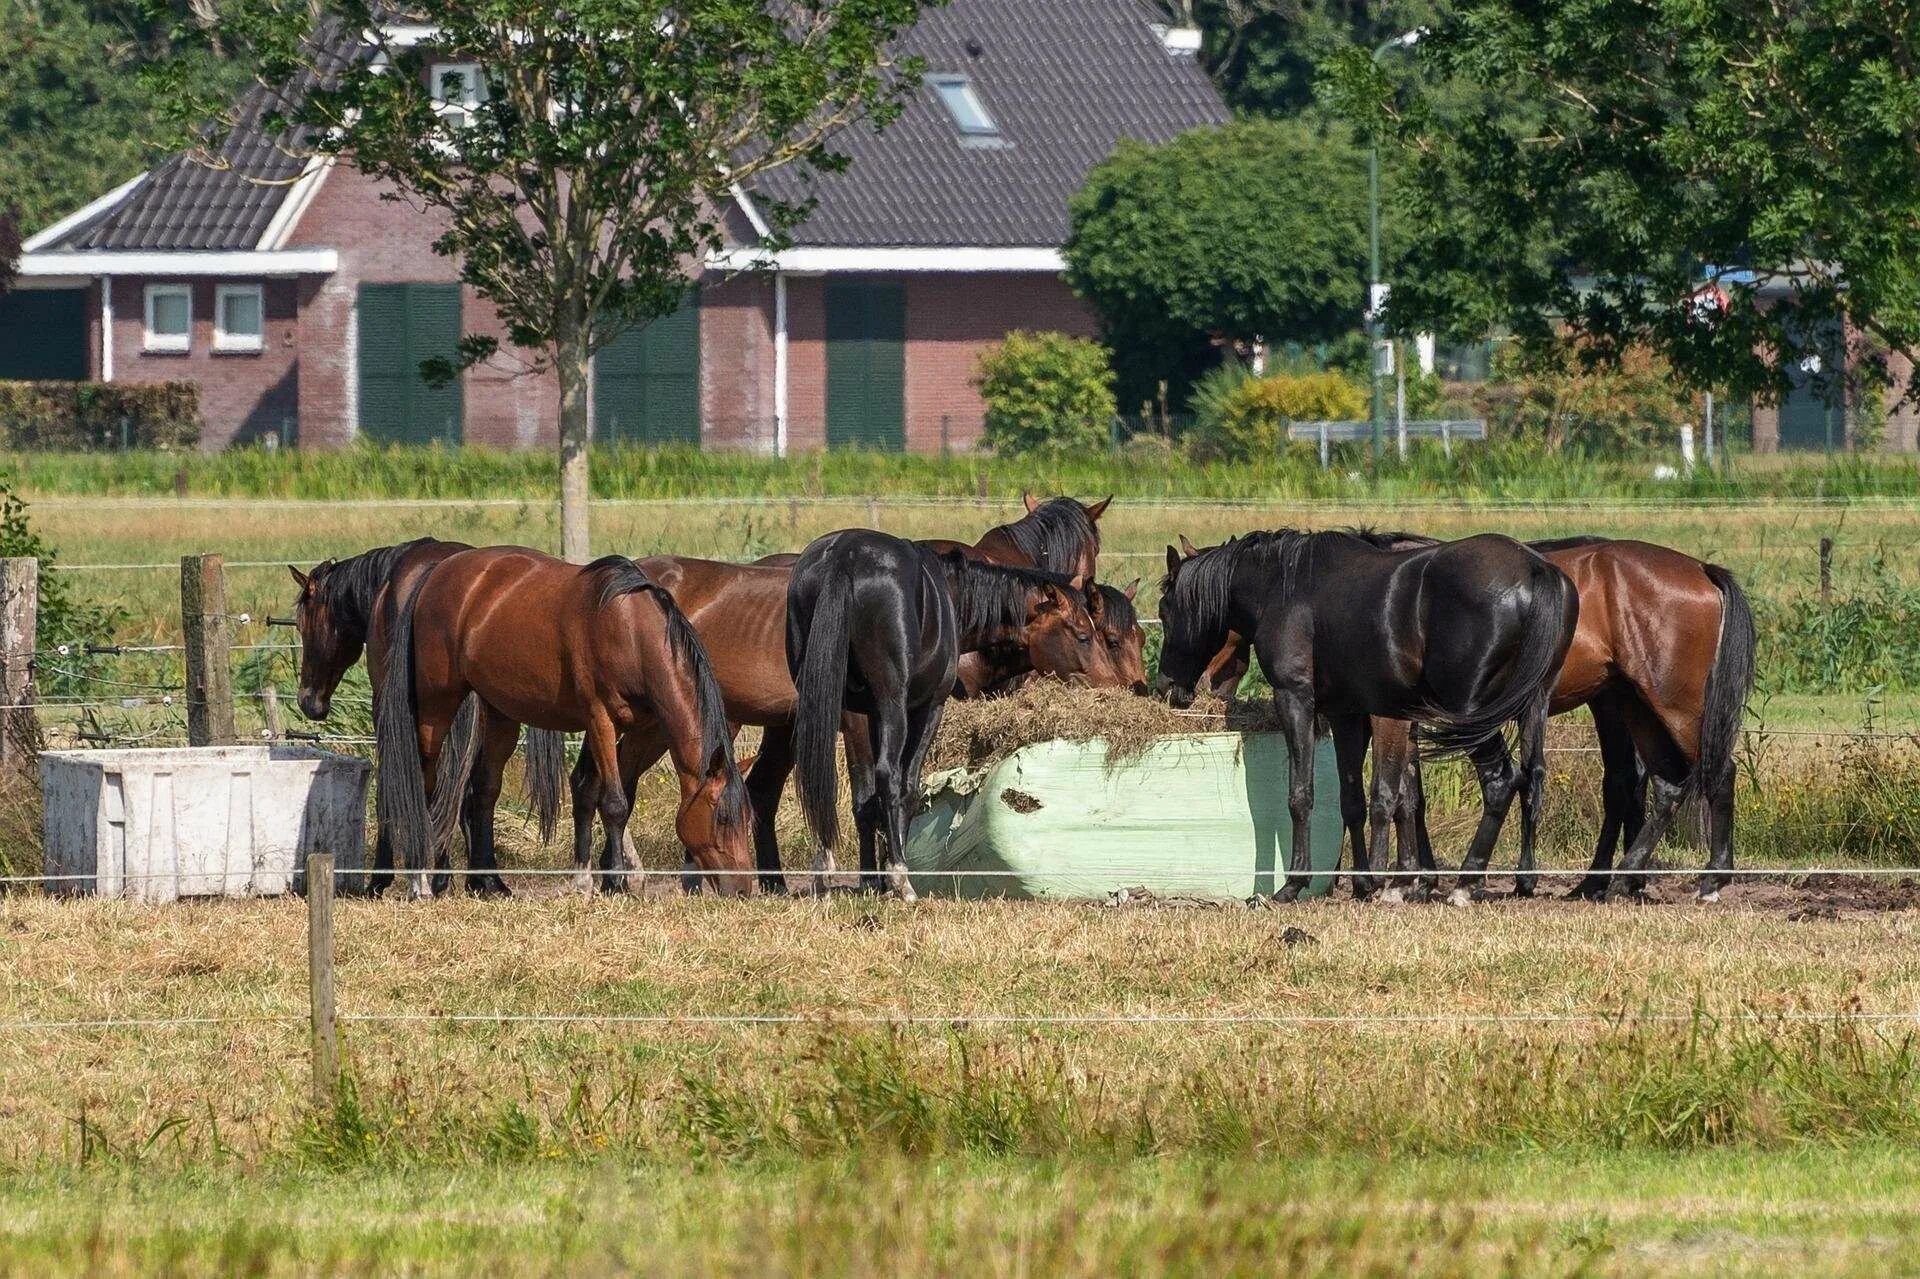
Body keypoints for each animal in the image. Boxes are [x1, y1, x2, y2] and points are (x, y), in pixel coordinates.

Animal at [372, 549, 748, 894]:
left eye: (748, 818)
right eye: (722, 817)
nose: (743, 889)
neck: (630, 629)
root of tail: (436, 571)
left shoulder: (629, 728)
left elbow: (592, 792)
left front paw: (586, 880)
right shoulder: (600, 719)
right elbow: (613, 802)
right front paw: (614, 882)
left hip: (498, 711)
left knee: (484, 789)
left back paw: (490, 883)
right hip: (437, 706)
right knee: (426, 785)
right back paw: (421, 881)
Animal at [1152, 533, 1574, 902]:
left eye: (1164, 609)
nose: (1166, 686)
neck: (1283, 587)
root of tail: (1536, 569)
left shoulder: (1295, 700)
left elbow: (1301, 794)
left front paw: (1294, 884)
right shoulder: (1347, 715)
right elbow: (1352, 800)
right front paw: (1363, 883)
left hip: (1471, 716)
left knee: (1501, 781)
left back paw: (1466, 883)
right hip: (1529, 708)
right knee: (1530, 779)